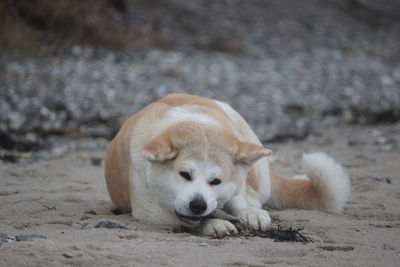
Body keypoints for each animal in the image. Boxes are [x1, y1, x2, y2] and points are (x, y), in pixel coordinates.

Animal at [104, 93, 350, 237]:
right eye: (184, 174)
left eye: (216, 181)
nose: (198, 205)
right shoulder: (149, 210)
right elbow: (186, 220)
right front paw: (214, 224)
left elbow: (239, 198)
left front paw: (249, 214)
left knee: (251, 193)